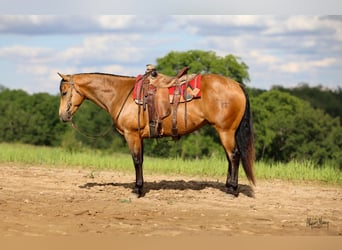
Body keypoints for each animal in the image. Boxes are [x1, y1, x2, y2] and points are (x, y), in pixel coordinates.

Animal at [57, 70, 254, 197]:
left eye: (64, 92)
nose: (62, 116)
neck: (120, 94)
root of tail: (237, 85)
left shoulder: (131, 135)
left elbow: (136, 160)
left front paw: (137, 190)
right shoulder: (140, 137)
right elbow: (141, 160)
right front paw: (140, 187)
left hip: (226, 131)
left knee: (234, 156)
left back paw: (232, 190)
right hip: (226, 132)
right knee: (230, 157)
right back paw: (228, 187)